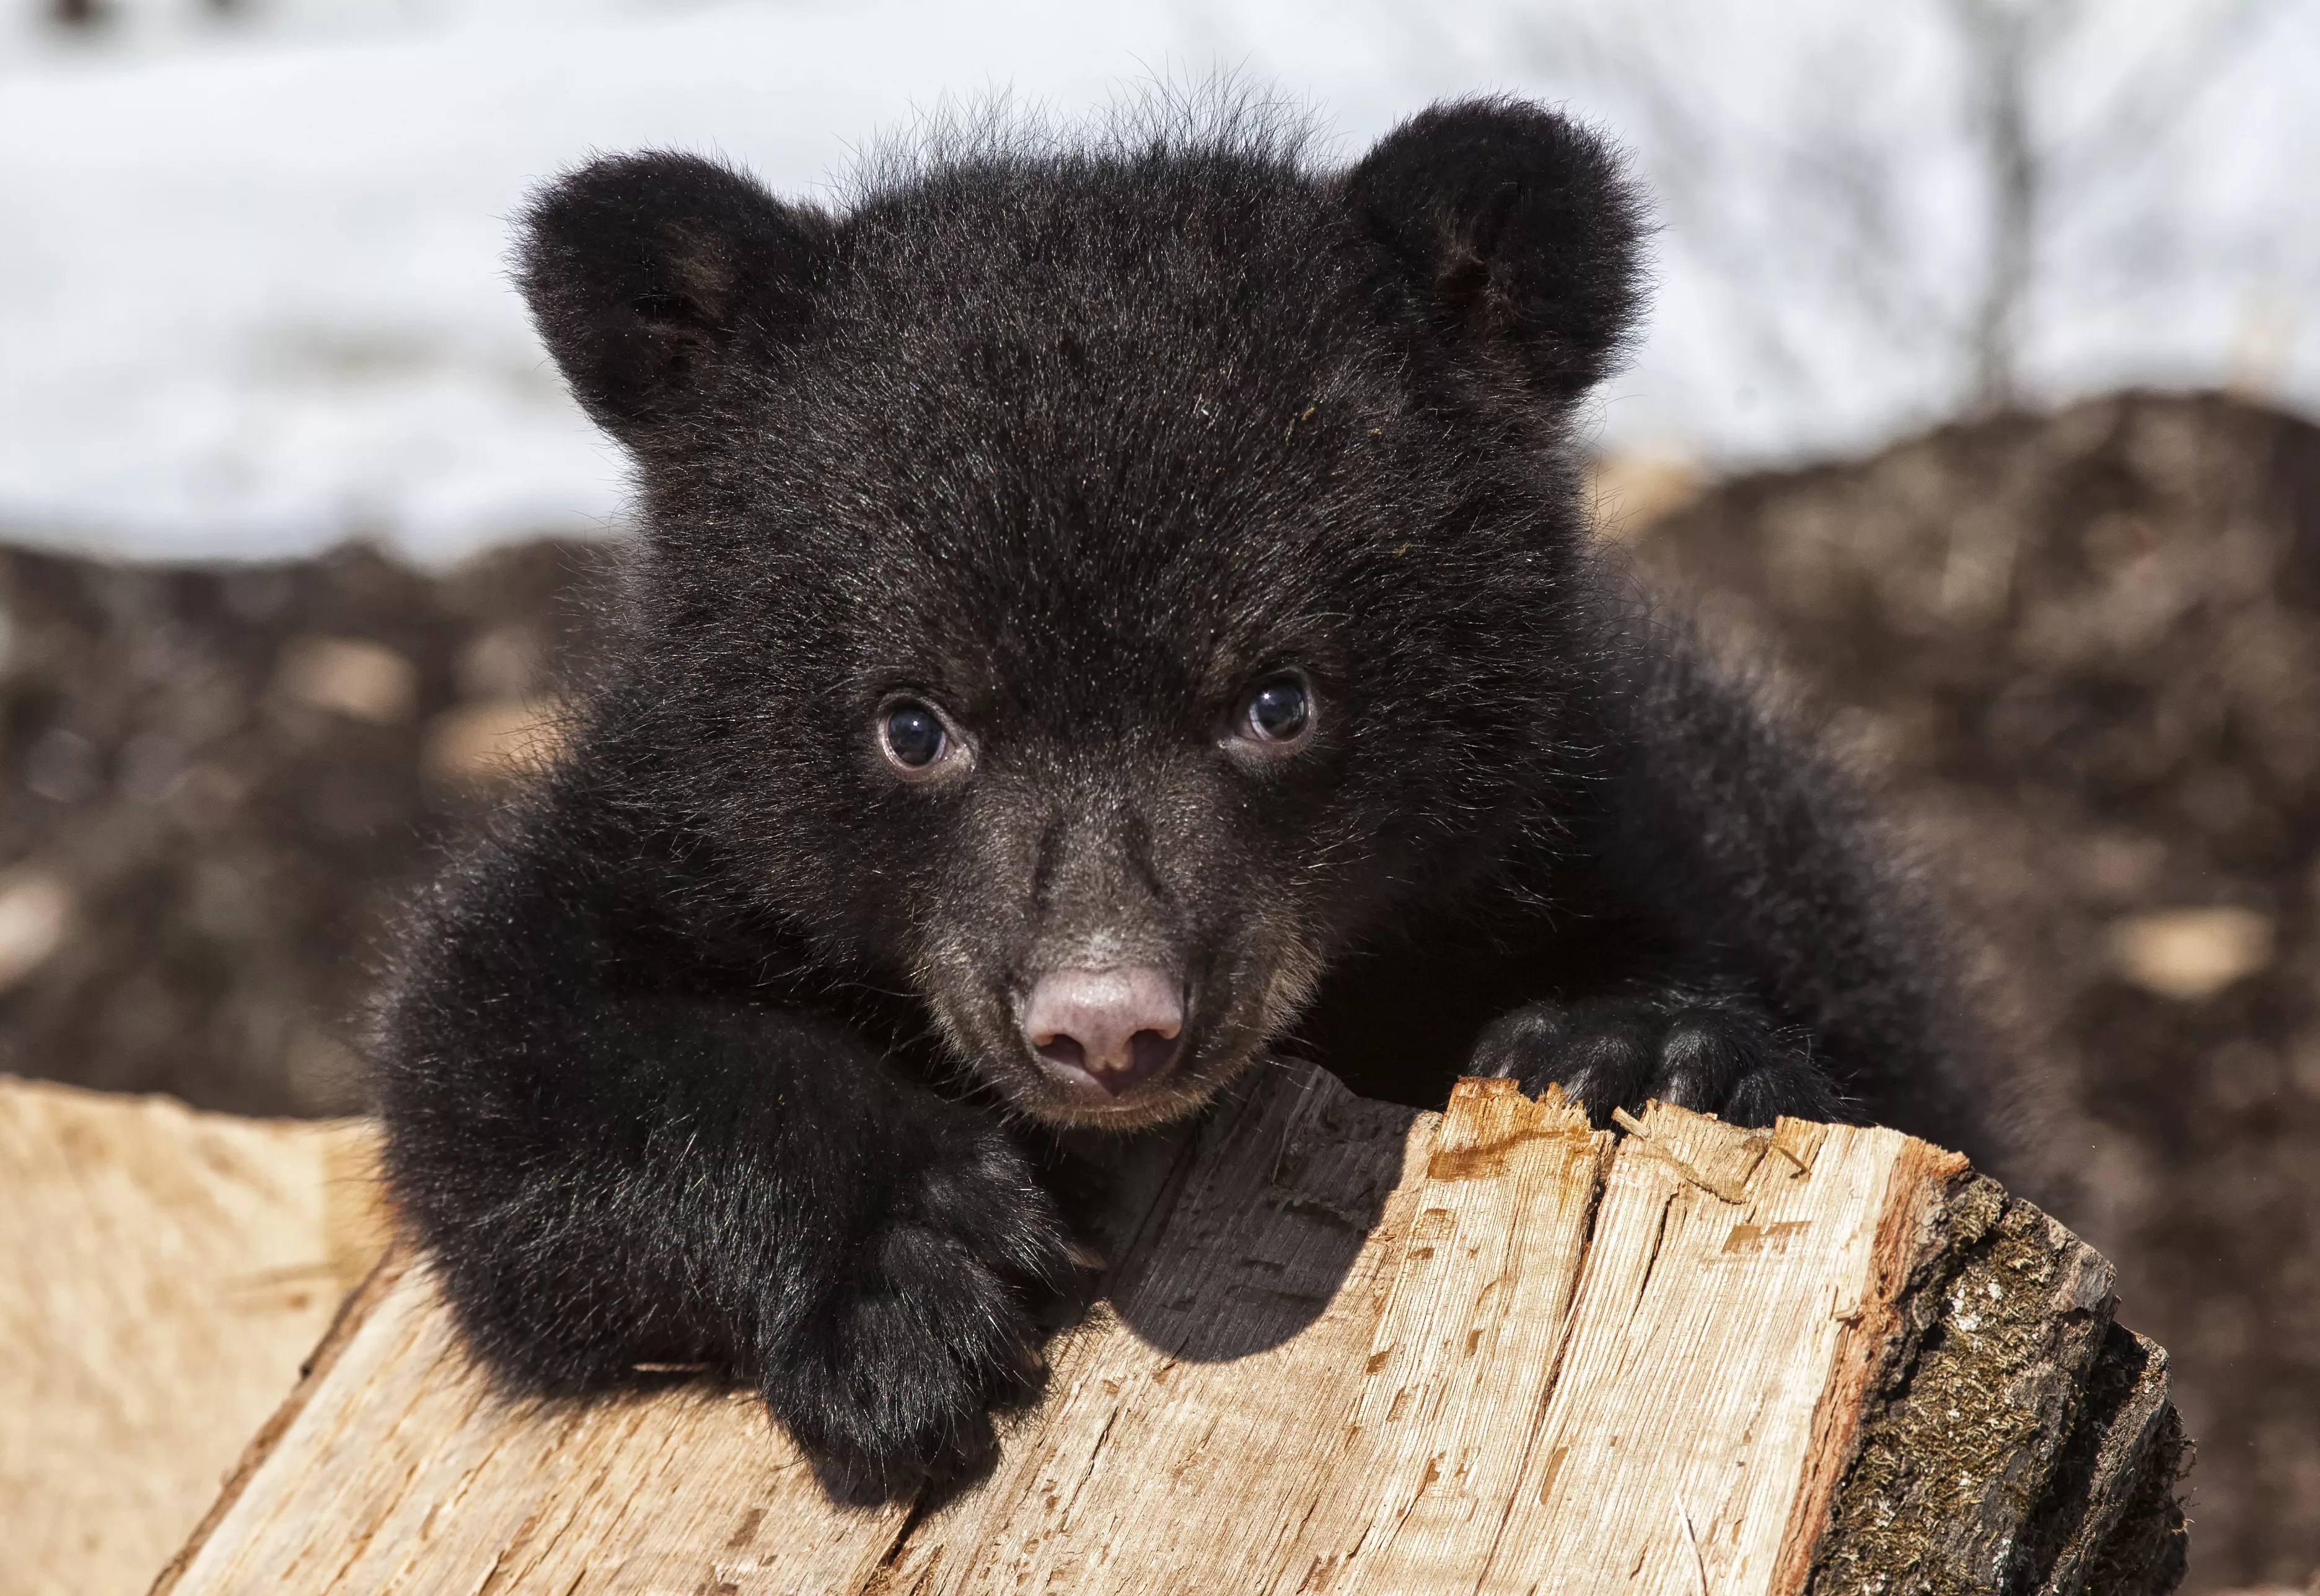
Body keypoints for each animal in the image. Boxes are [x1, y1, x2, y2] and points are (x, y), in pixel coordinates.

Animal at [375, 95, 1998, 1498]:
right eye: (912, 722)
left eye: (1275, 699)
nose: (1106, 1028)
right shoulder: (676, 825)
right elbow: (499, 1063)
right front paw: (915, 1277)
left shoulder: (1625, 826)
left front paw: (1625, 1044)